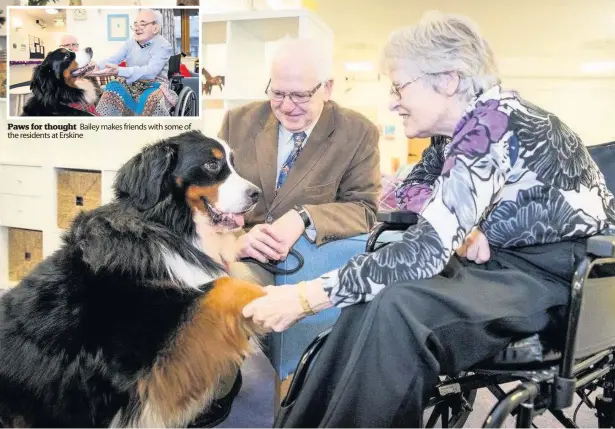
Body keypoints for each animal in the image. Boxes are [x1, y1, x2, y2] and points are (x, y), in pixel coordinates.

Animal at [0, 130, 270, 428]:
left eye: (233, 162)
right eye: (212, 165)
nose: (256, 194)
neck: (165, 225)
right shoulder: (156, 352)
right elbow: (223, 286)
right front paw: (274, 299)